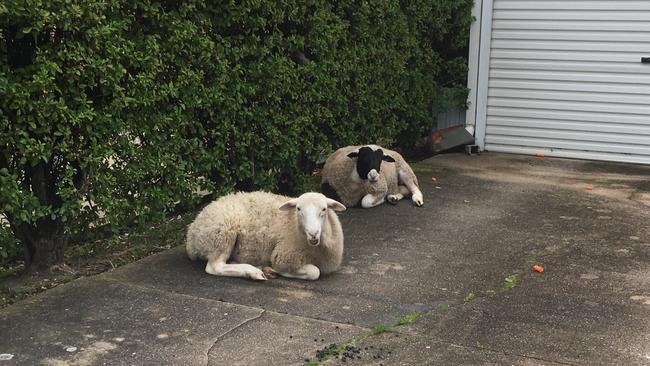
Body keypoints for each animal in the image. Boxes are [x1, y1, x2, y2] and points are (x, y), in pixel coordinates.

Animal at [184, 192, 344, 280]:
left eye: (324, 209)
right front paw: (274, 270)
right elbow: (314, 272)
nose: (313, 234)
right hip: (222, 233)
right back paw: (253, 272)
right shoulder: (283, 256)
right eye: (298, 209)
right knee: (215, 267)